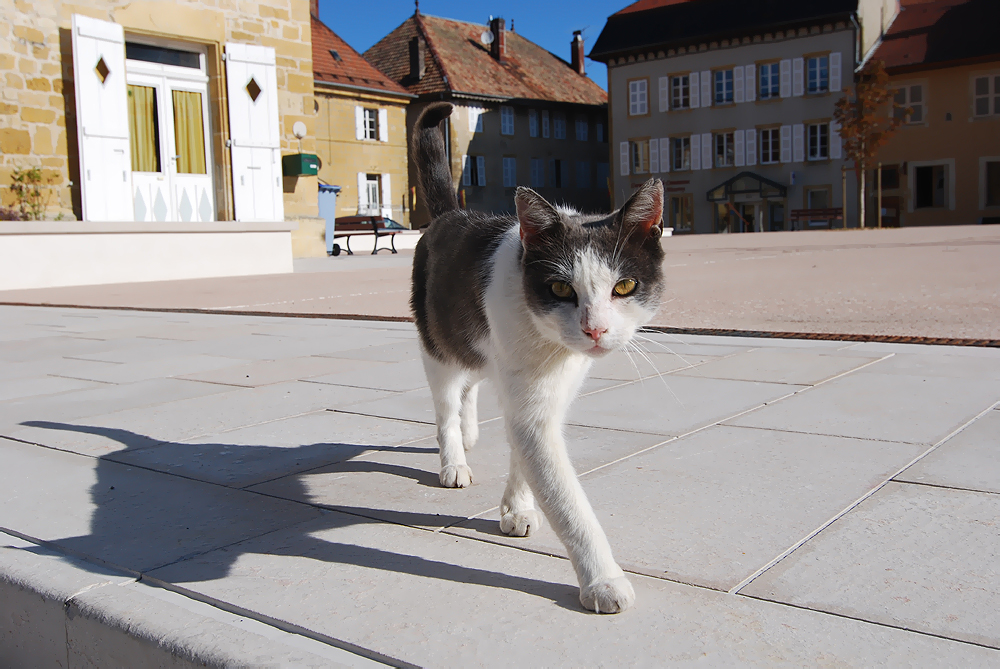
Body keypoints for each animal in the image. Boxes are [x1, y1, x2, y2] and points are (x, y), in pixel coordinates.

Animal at [406, 102, 664, 612]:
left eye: (624, 286)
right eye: (561, 289)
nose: (595, 328)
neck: (552, 348)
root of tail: (451, 214)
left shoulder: (555, 385)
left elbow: (522, 450)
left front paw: (517, 506)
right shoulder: (529, 397)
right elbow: (564, 495)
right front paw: (603, 580)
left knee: (473, 384)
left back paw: (469, 431)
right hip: (438, 341)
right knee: (446, 400)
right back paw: (454, 458)